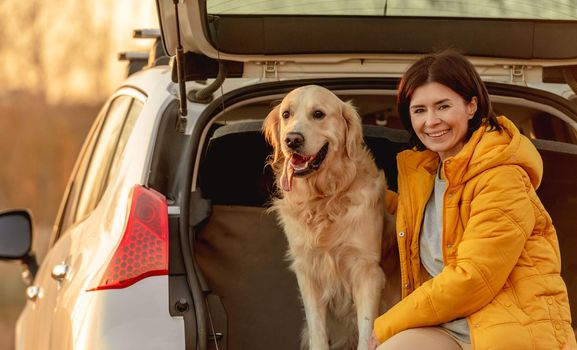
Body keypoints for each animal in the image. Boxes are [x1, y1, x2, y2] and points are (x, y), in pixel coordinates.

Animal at [264, 85, 396, 350]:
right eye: (286, 114)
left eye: (318, 114)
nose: (292, 139)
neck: (324, 200)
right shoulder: (308, 272)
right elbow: (318, 332)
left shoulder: (366, 270)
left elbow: (367, 332)